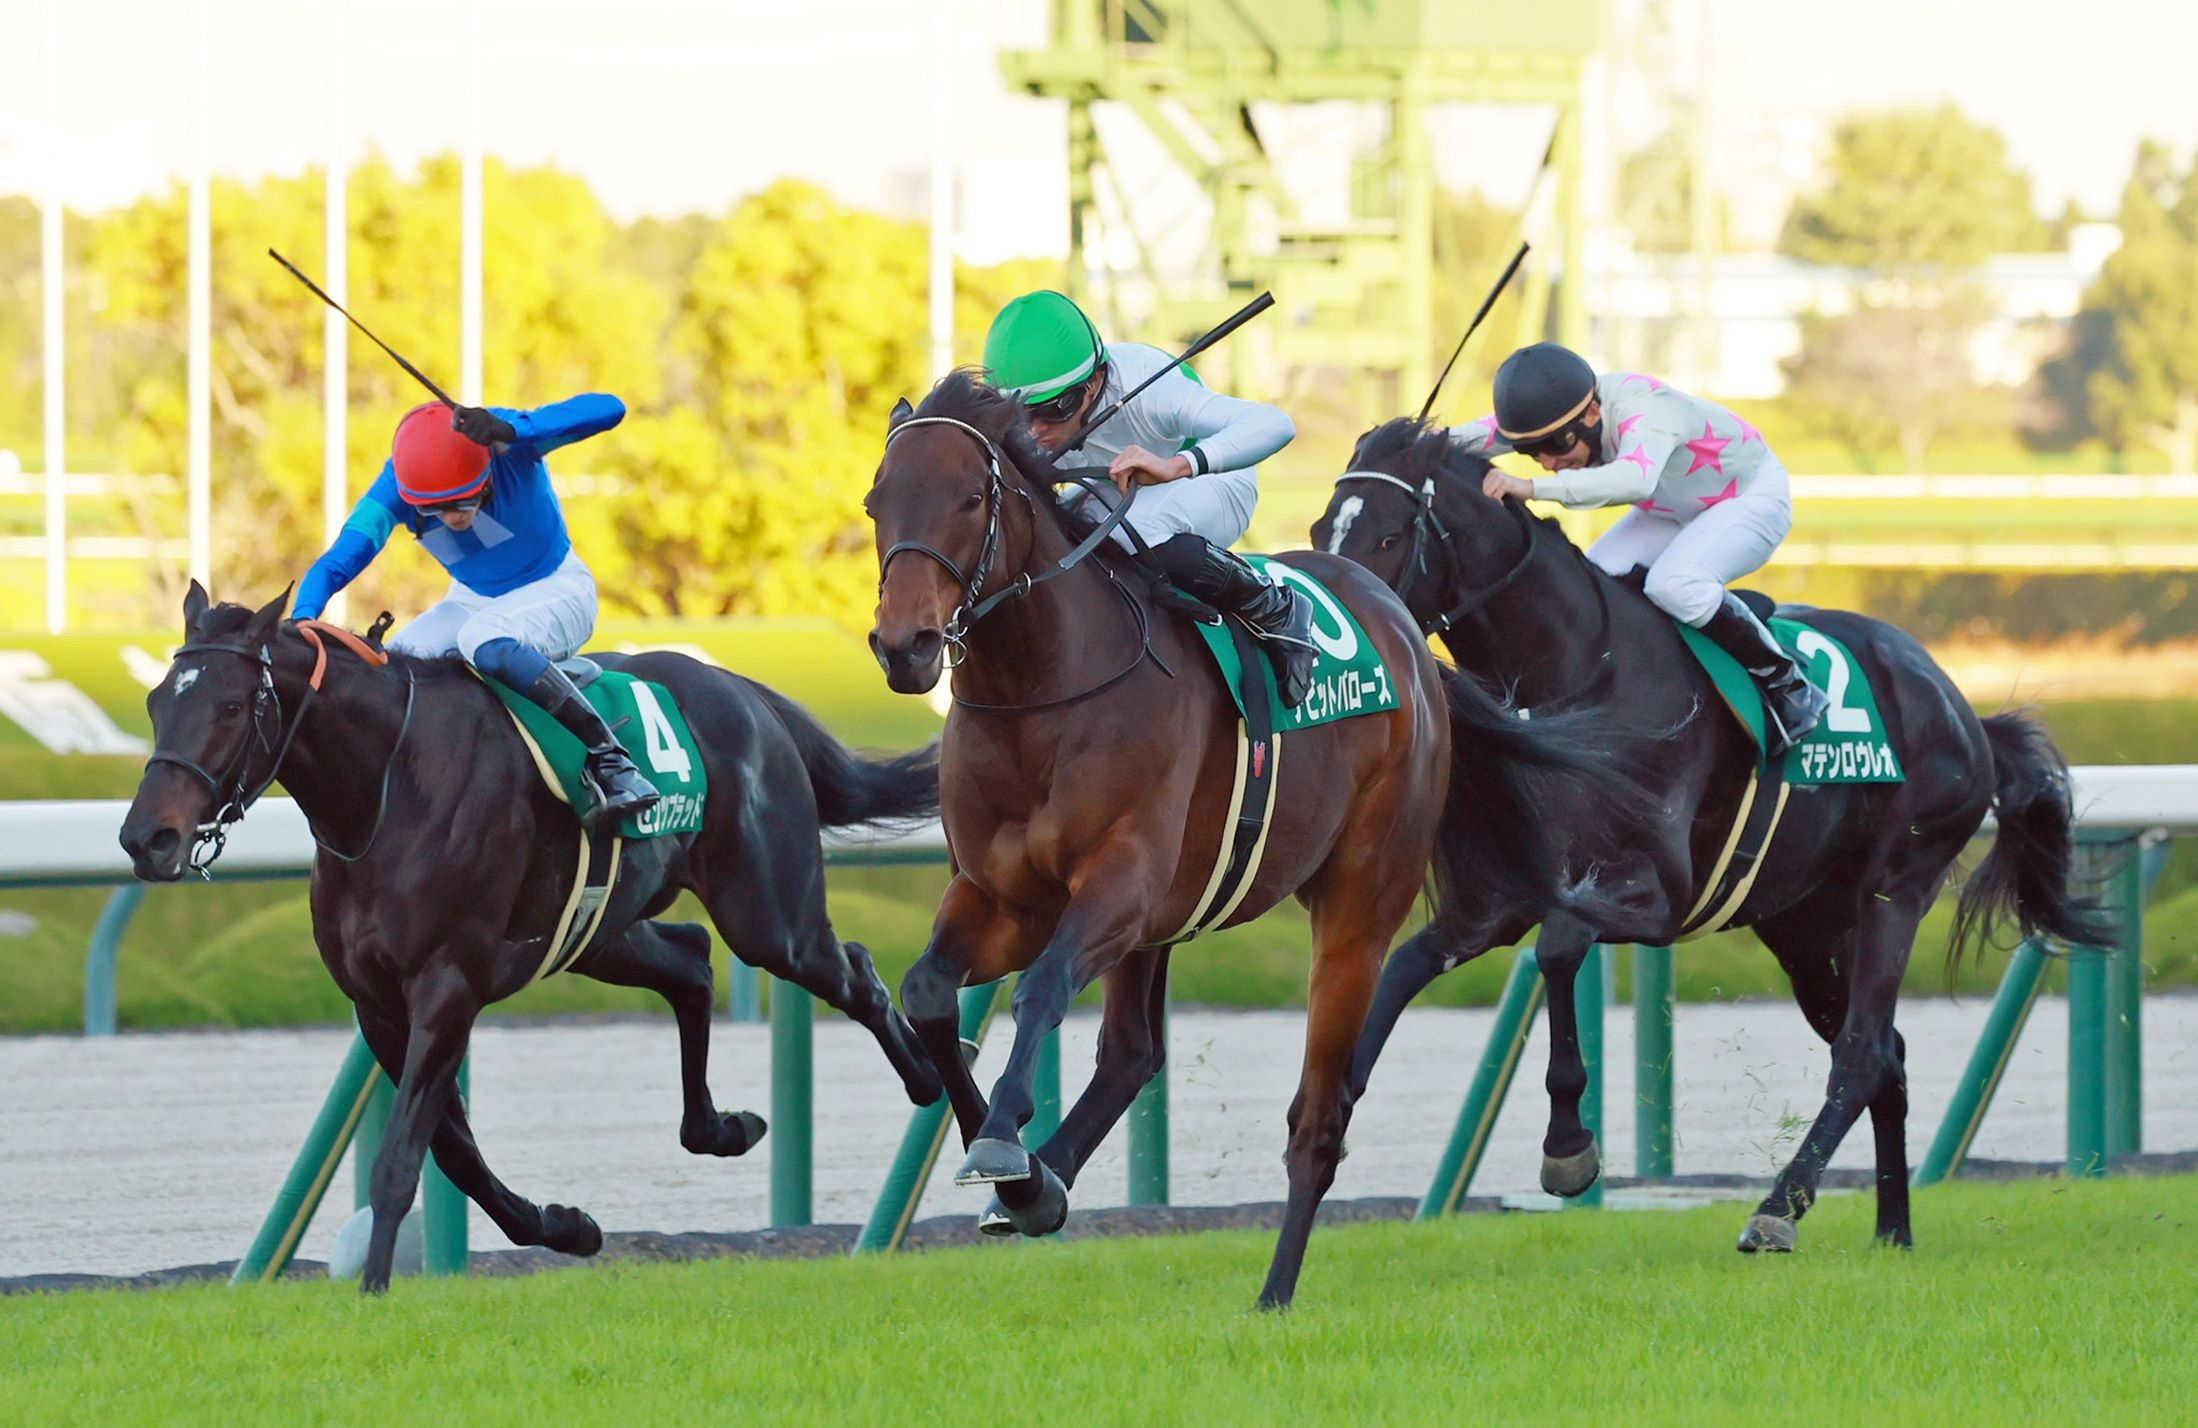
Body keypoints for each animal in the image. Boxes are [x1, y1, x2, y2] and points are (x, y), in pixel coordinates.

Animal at [118, 583, 945, 1293]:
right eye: (157, 702)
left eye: (230, 705)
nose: (145, 839)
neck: (388, 786)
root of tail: (748, 692)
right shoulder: (377, 1004)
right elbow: (454, 1153)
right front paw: (565, 1226)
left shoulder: (447, 986)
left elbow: (403, 1157)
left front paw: (376, 1286)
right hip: (600, 930)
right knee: (691, 960)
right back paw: (721, 1127)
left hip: (768, 915)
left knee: (850, 969)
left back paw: (929, 1079)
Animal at [863, 371, 1645, 1308]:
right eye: (876, 501)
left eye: (971, 498)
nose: (904, 646)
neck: (1041, 697)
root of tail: (1413, 642)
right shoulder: (1003, 897)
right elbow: (929, 996)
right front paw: (1020, 1177)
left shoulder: (1120, 885)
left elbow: (1040, 989)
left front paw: (1002, 1146)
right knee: (1132, 1056)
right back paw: (1051, 1183)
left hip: (1356, 904)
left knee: (1318, 1116)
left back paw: (1275, 1291)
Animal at [1312, 417, 2106, 1253]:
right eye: (1319, 530)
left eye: (1390, 534)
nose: (1346, 610)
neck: (1578, 674)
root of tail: (1962, 710)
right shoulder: (1494, 904)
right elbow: (1403, 969)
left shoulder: (1652, 897)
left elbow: (1558, 949)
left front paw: (1569, 1148)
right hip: (1805, 922)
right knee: (1883, 1054)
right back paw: (1892, 1228)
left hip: (1897, 886)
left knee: (1861, 1053)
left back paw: (1778, 1208)